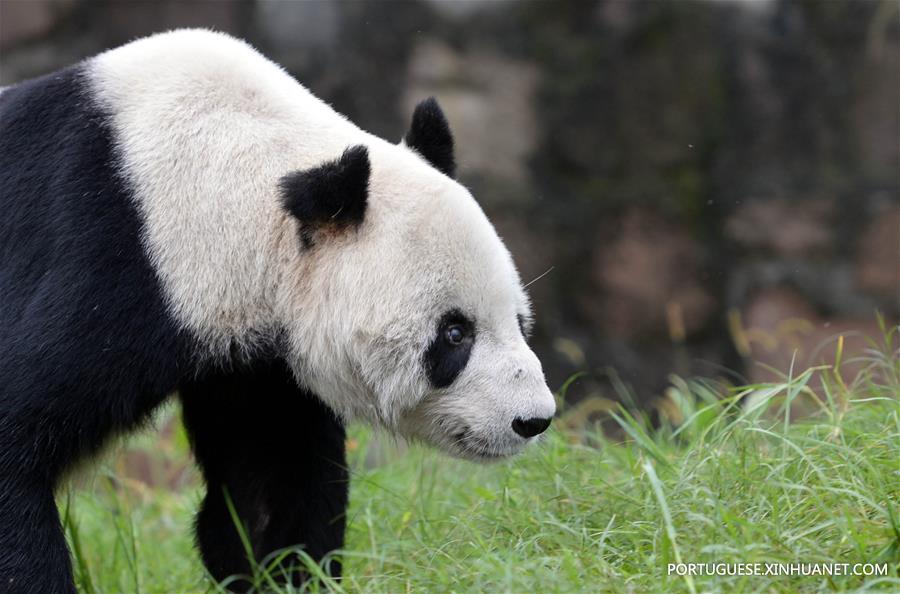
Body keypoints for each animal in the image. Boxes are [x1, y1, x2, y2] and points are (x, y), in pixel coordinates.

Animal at [0, 29, 556, 593]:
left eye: (519, 321)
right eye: (455, 334)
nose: (532, 420)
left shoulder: (255, 359)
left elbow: (271, 481)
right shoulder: (115, 264)